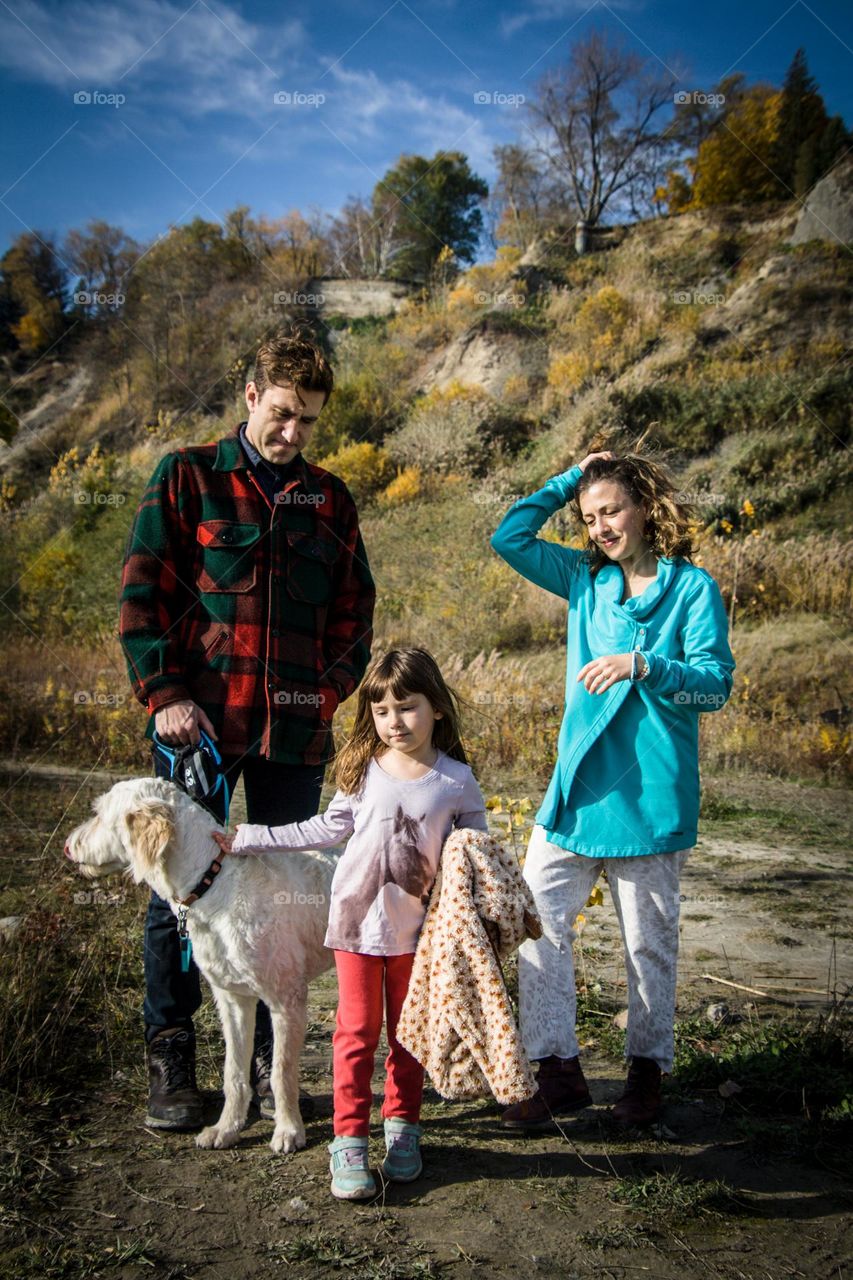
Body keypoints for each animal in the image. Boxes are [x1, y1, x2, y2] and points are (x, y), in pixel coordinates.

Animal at [63, 773, 333, 1157]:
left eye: (100, 814)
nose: (68, 846)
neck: (214, 879)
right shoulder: (233, 999)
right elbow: (233, 1073)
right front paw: (226, 1128)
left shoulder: (286, 1000)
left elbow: (282, 1072)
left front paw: (288, 1130)